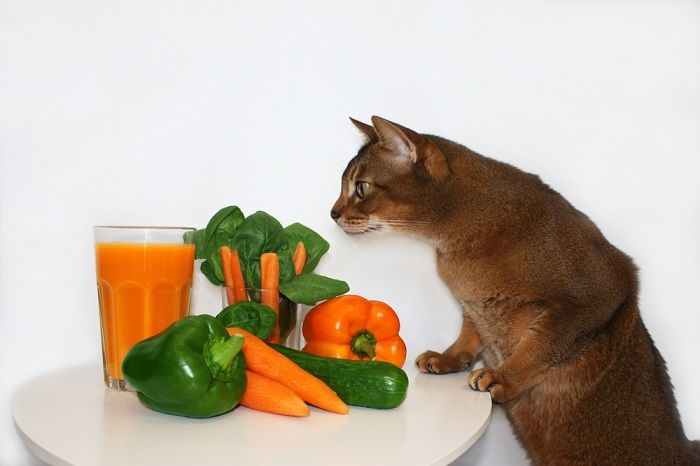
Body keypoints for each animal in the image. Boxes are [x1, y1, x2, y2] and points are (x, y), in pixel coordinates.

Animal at [330, 116, 700, 466]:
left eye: (361, 188)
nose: (333, 213)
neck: (458, 241)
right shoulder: (472, 301)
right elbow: (470, 330)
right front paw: (449, 358)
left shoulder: (603, 287)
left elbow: (543, 341)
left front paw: (503, 378)